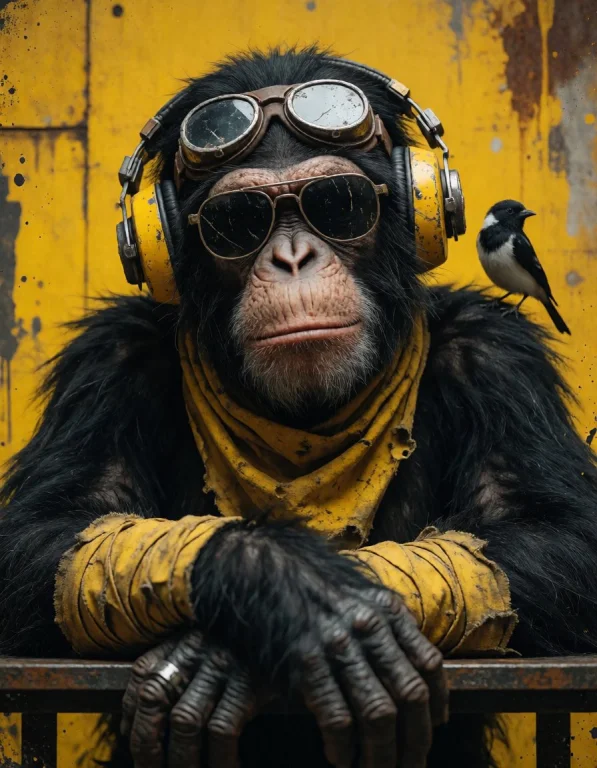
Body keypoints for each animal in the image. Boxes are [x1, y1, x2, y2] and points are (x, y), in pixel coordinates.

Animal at [1, 47, 596, 768]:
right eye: (238, 220)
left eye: (335, 205)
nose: (291, 256)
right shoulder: (107, 364)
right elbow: (49, 527)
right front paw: (291, 584)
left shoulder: (500, 362)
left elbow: (555, 531)